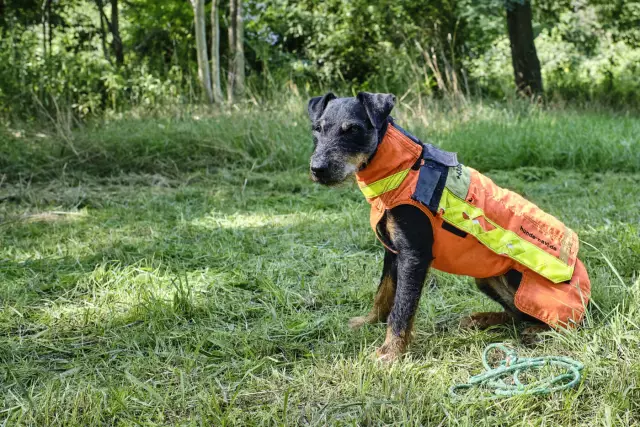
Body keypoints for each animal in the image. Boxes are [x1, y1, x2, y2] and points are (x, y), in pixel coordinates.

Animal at [308, 93, 592, 362]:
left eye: (353, 129)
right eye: (317, 128)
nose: (317, 169)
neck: (404, 169)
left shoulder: (414, 256)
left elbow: (401, 308)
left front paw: (390, 352)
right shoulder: (393, 252)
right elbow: (383, 293)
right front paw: (369, 322)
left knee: (559, 323)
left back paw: (538, 332)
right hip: (486, 278)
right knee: (516, 315)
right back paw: (480, 319)